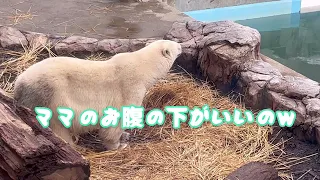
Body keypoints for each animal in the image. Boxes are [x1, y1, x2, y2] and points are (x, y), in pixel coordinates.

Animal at [13, 39, 182, 150]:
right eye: (175, 45)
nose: (181, 45)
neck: (143, 66)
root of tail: (18, 84)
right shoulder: (130, 87)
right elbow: (117, 119)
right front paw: (119, 144)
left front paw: (125, 136)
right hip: (50, 96)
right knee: (57, 126)